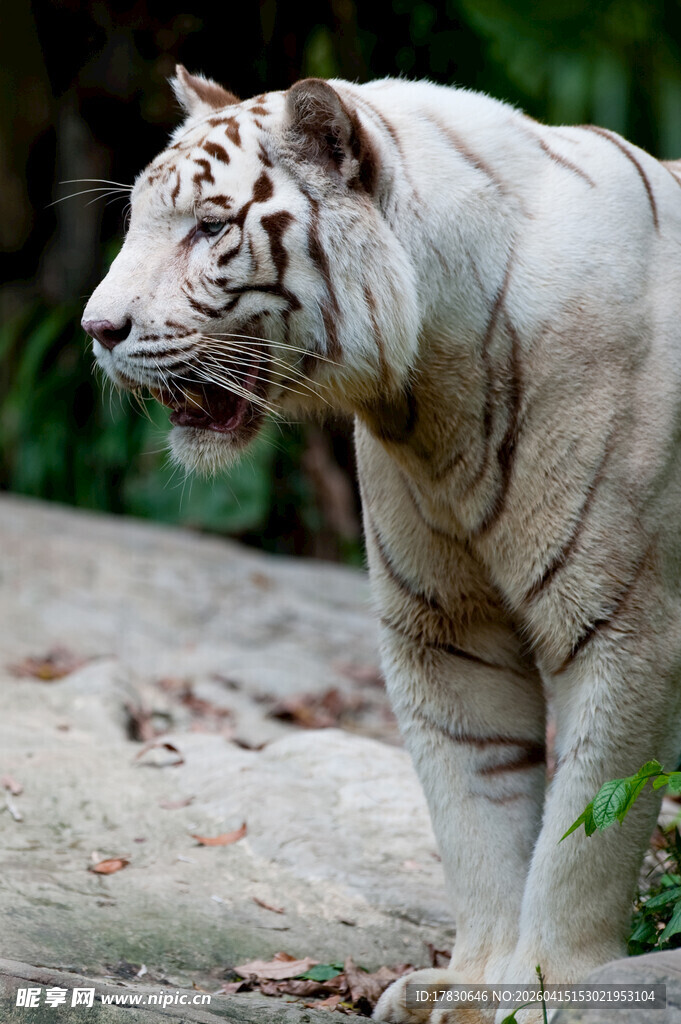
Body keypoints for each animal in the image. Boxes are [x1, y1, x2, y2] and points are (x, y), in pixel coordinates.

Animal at [82, 65, 681, 1023]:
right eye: (139, 219)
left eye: (209, 226)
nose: (96, 333)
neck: (437, 379)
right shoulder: (444, 629)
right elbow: (475, 809)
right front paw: (469, 983)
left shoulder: (624, 627)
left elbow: (588, 825)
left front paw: (543, 988)